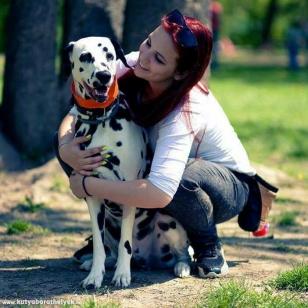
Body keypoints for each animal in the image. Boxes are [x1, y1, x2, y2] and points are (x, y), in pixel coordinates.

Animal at [64, 36, 190, 288]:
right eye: (86, 56)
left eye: (109, 55)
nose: (104, 75)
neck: (100, 120)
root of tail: (149, 259)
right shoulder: (92, 196)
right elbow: (99, 244)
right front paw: (95, 275)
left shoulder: (130, 189)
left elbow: (126, 243)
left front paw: (122, 275)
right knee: (107, 247)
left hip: (169, 222)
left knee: (182, 253)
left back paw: (182, 267)